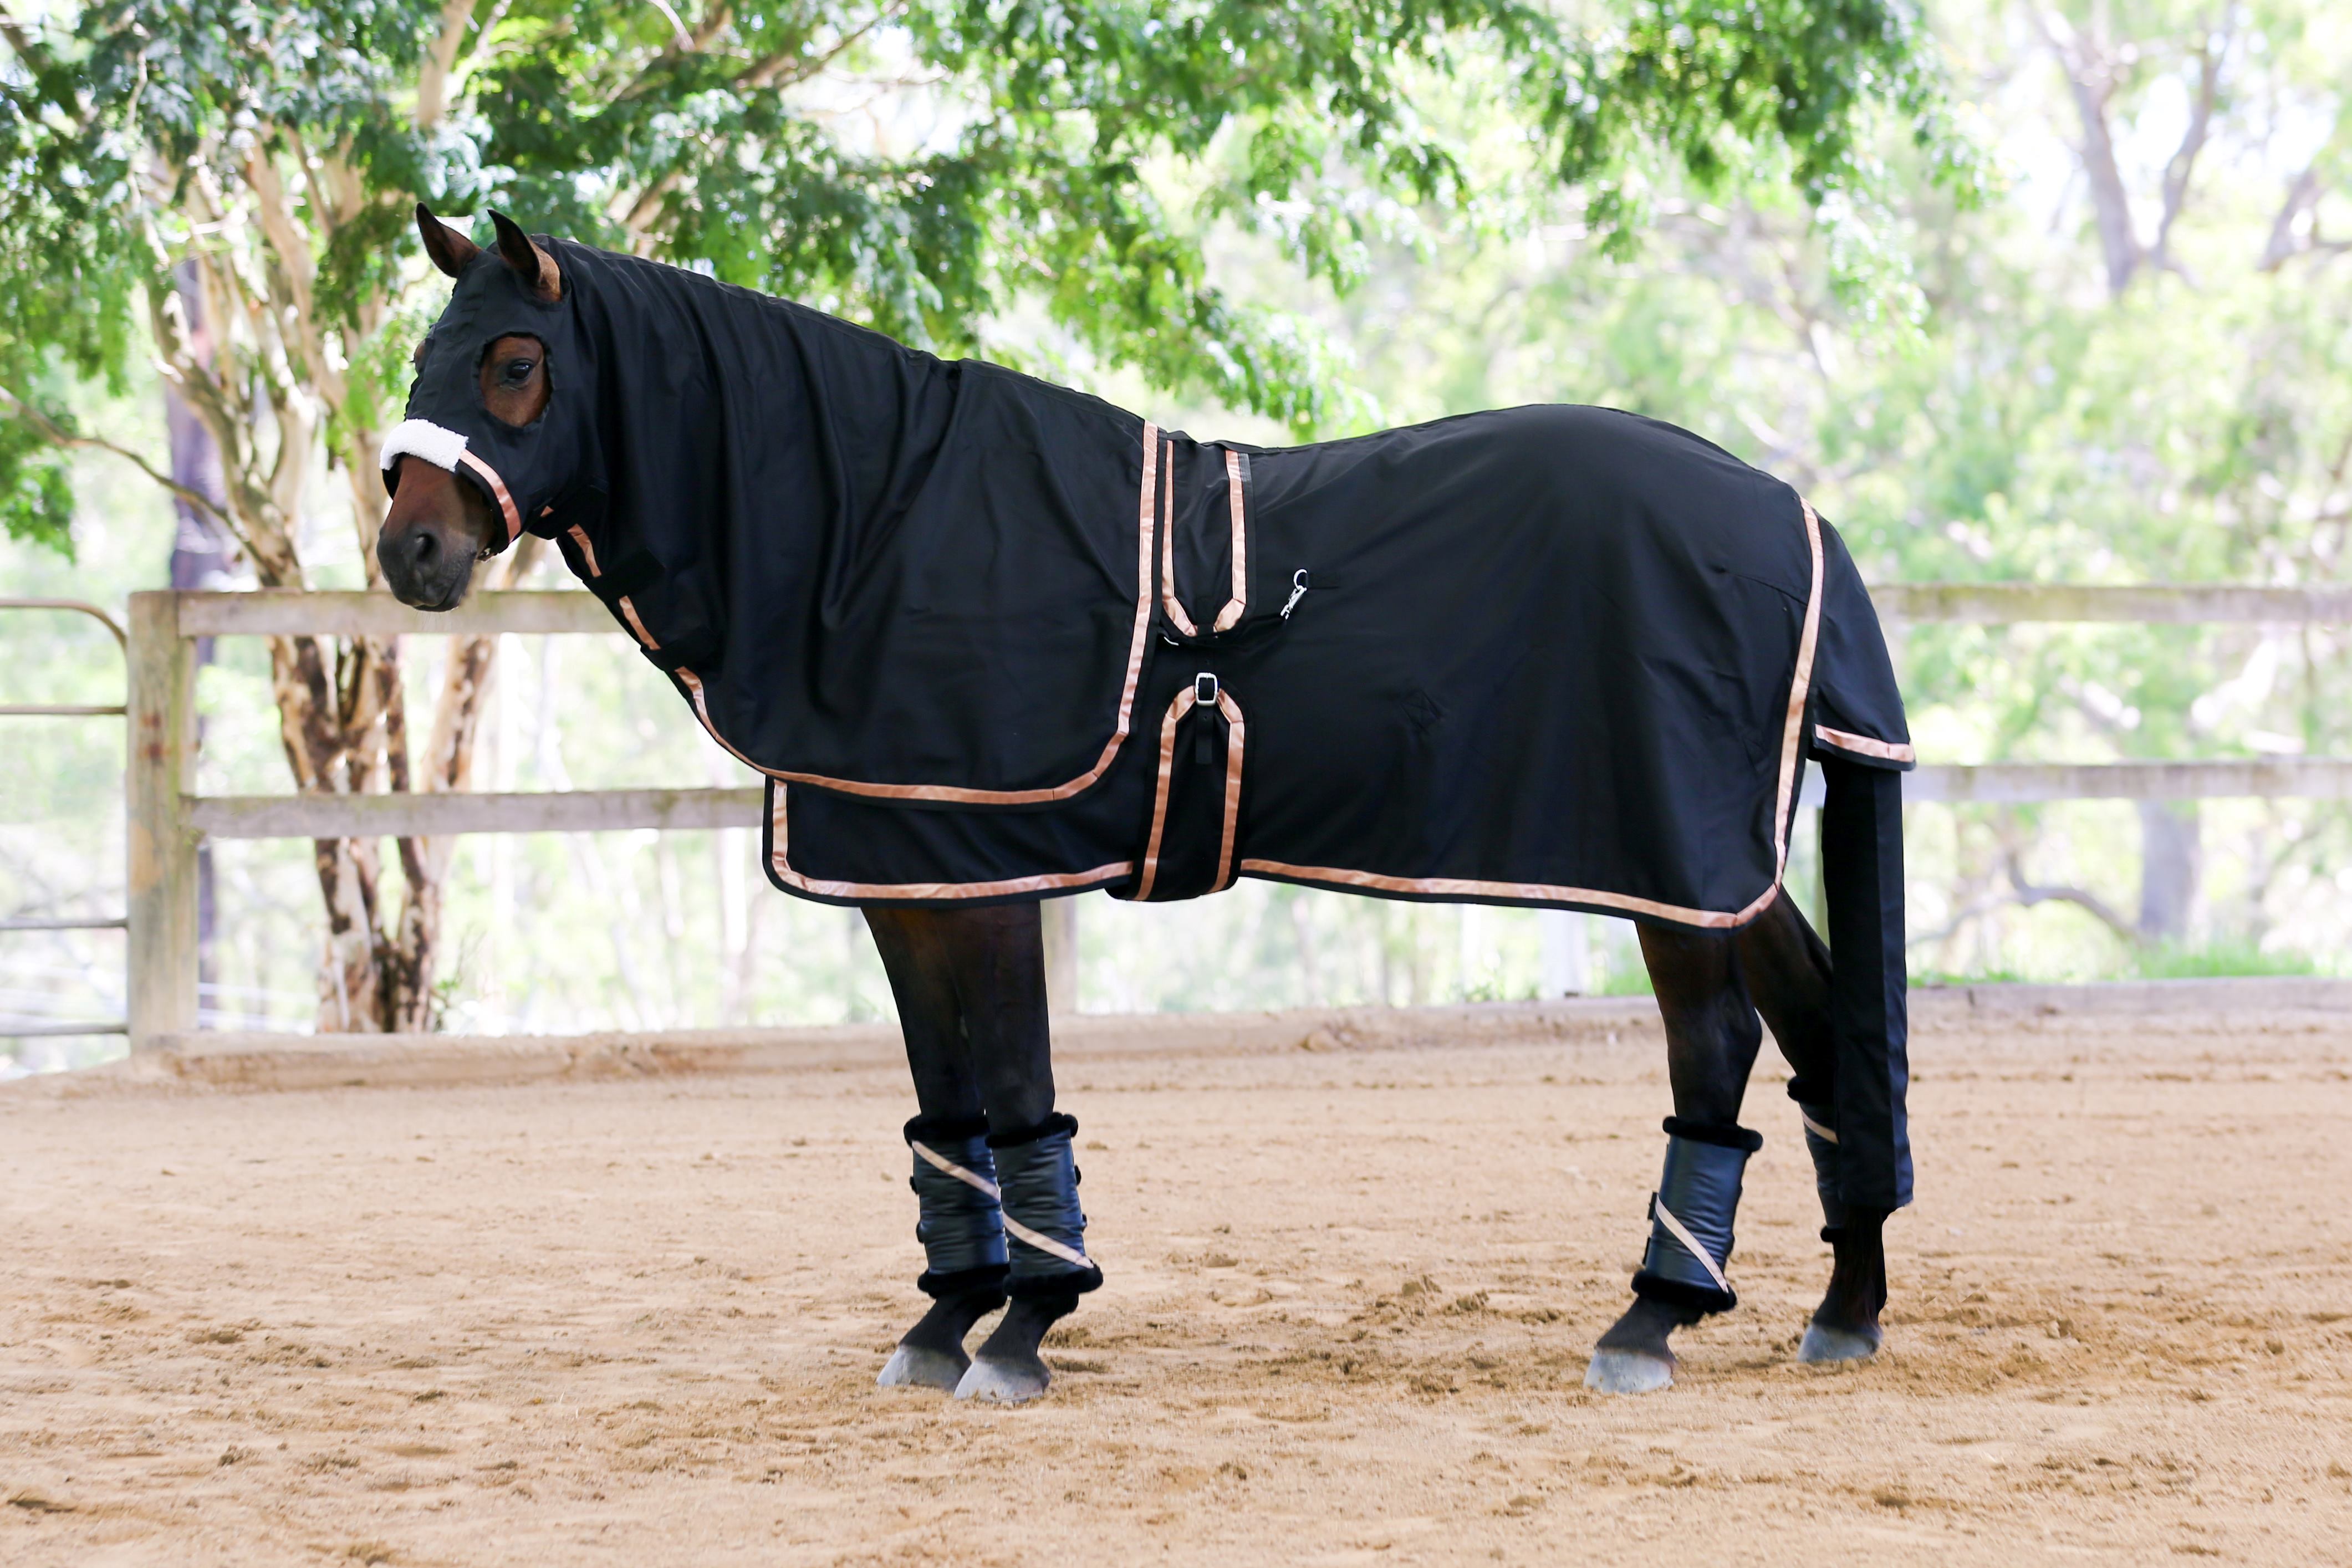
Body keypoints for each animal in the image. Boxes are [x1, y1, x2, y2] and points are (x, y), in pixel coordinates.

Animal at [371, 202, 1910, 1401]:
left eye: (516, 362)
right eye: (423, 357)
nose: (410, 553)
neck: (880, 527)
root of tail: (1786, 513)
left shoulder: (988, 876)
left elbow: (1014, 1094)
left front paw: (1025, 1328)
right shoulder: (905, 876)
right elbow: (947, 1115)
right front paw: (947, 1318)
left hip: (1670, 868)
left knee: (1718, 1047)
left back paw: (1653, 1316)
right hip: (1723, 869)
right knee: (1823, 1033)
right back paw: (1841, 1309)